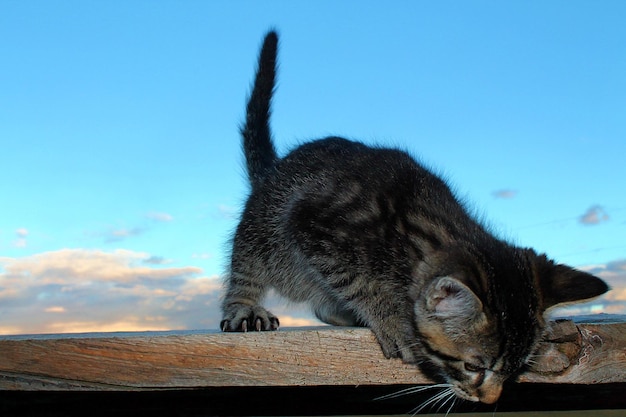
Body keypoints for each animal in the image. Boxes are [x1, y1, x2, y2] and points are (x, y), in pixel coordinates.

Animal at [219, 31, 604, 404]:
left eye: (516, 370)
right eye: (474, 366)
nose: (490, 400)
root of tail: (274, 170)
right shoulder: (314, 223)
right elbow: (356, 279)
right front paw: (391, 318)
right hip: (264, 228)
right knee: (245, 267)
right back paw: (244, 307)